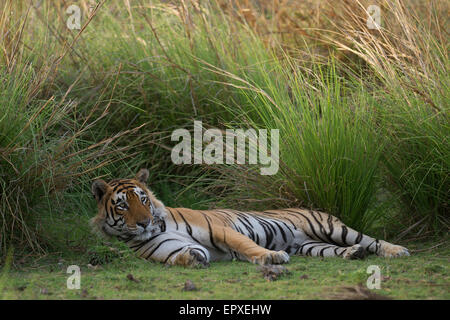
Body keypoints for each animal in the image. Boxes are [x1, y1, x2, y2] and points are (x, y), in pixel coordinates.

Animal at [89, 169, 410, 268]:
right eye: (122, 206)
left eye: (143, 200)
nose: (145, 222)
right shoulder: (166, 249)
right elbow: (181, 254)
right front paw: (193, 259)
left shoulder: (219, 229)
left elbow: (246, 245)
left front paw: (271, 257)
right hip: (310, 245)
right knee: (336, 250)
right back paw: (353, 254)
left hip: (331, 227)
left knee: (371, 240)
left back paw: (396, 250)